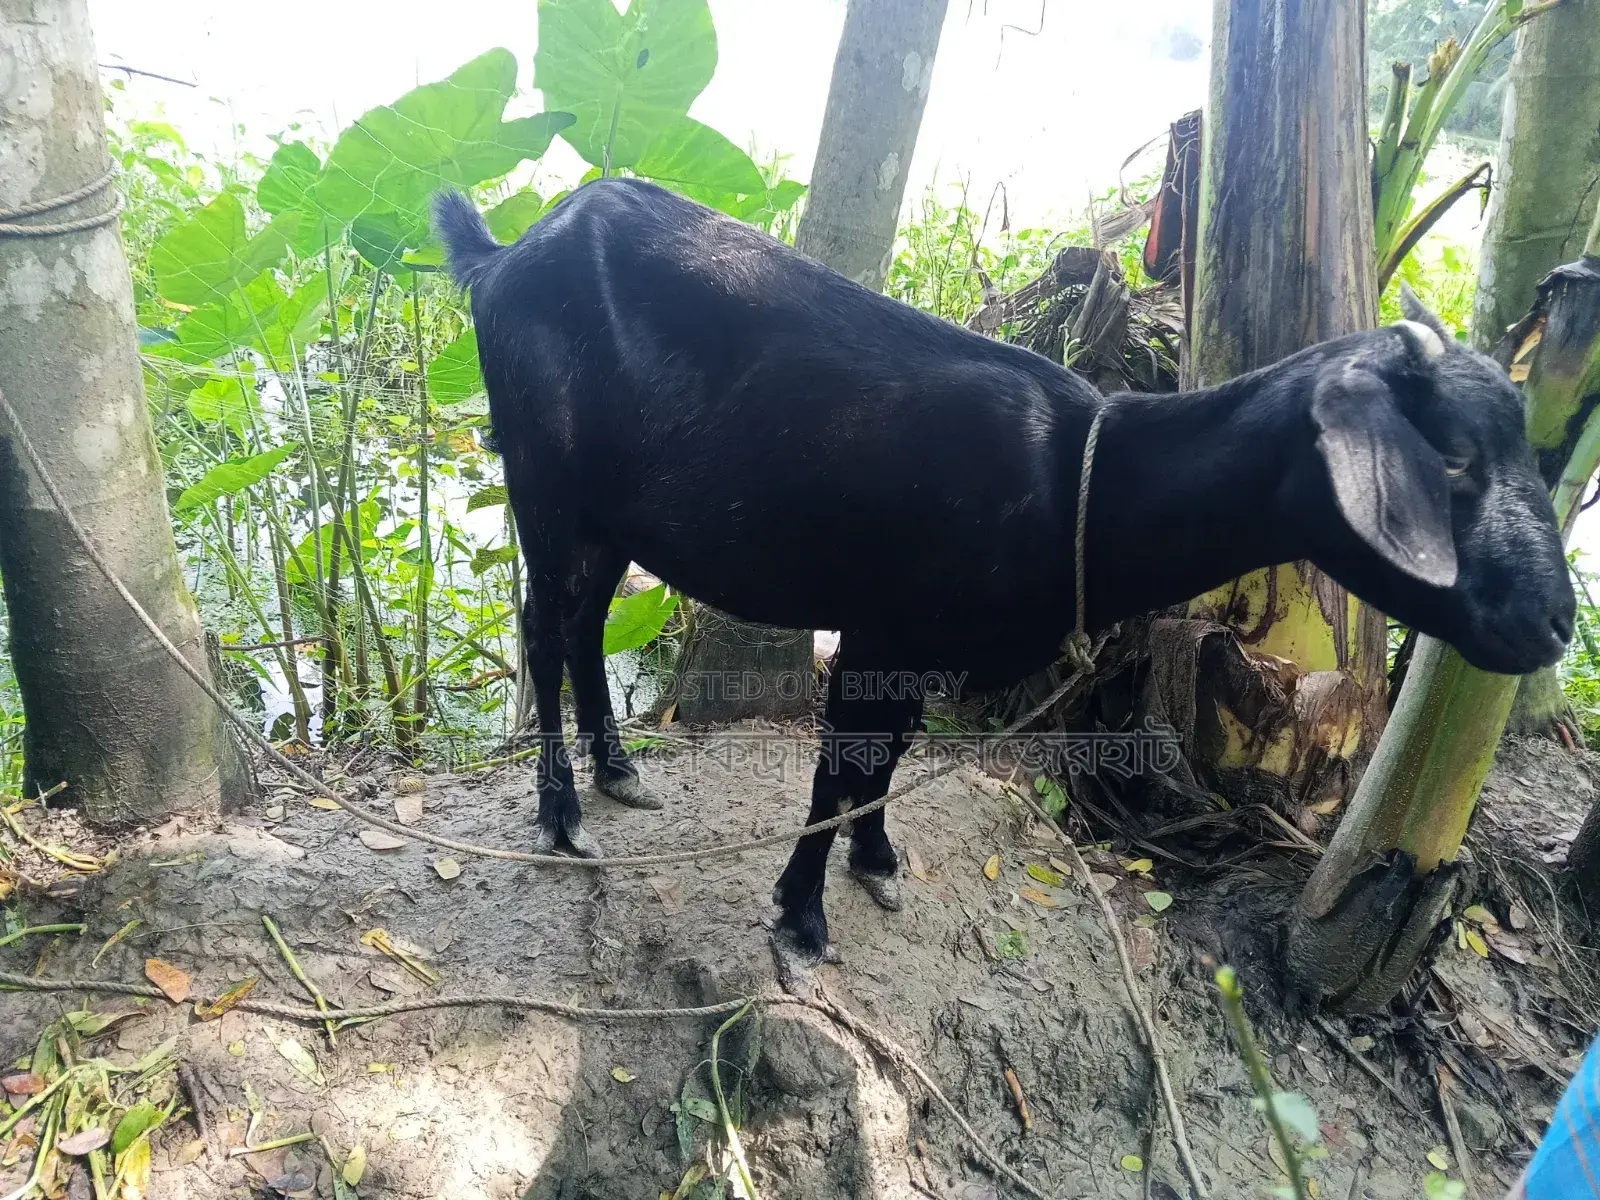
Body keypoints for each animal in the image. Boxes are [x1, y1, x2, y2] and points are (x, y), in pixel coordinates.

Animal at [435, 178, 1574, 975]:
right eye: (1451, 459)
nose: (1557, 624)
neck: (1077, 483)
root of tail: (503, 255)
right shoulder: (881, 627)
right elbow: (839, 766)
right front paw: (801, 917)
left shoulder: (921, 641)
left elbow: (886, 760)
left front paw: (877, 862)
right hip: (541, 475)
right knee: (543, 626)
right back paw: (562, 814)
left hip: (611, 508)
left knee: (584, 624)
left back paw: (619, 770)